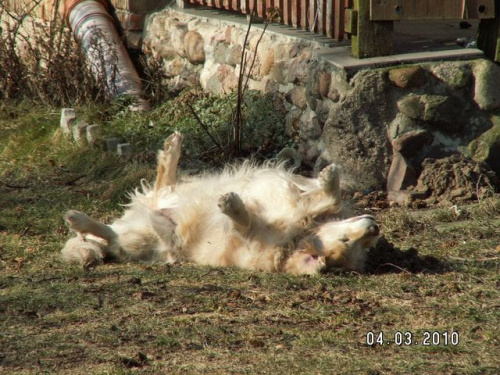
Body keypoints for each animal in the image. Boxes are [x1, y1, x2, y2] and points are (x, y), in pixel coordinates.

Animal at [61, 134, 378, 274]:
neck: (297, 237)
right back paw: (173, 148)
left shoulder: (249, 240)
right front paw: (329, 178)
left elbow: (245, 223)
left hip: (143, 239)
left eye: (359, 246)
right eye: (348, 240)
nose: (374, 228)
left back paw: (77, 218)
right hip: (163, 203)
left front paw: (231, 205)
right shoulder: (301, 198)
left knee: (111, 236)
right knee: (162, 183)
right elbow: (327, 196)